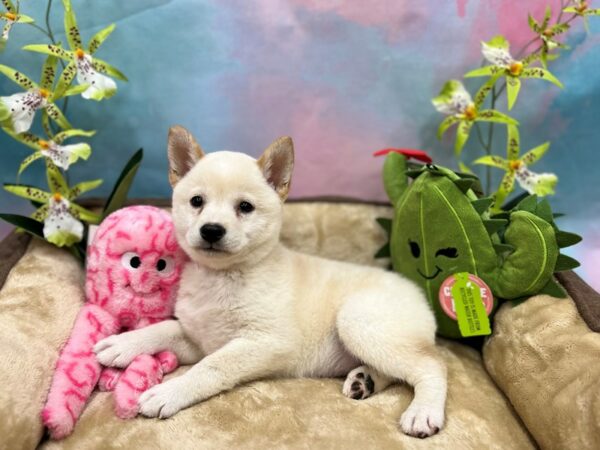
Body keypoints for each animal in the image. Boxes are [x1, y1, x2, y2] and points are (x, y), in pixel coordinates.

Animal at [95, 125, 446, 436]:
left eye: (245, 207)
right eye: (197, 201)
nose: (211, 230)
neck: (222, 279)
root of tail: (417, 293)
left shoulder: (264, 342)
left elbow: (211, 367)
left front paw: (171, 391)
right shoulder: (199, 338)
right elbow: (165, 328)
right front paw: (123, 343)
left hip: (360, 322)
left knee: (431, 366)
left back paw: (423, 411)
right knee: (401, 370)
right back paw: (365, 380)